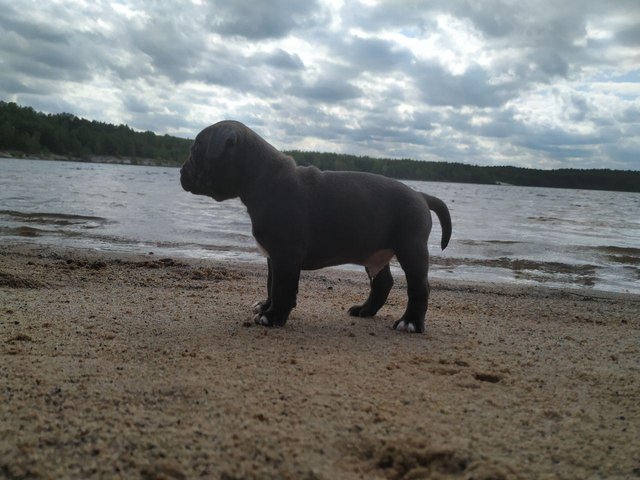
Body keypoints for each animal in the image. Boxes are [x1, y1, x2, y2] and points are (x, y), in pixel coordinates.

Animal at [178, 120, 452, 332]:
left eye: (196, 150)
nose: (181, 171)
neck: (262, 178)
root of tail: (421, 195)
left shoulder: (285, 255)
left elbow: (282, 286)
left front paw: (273, 317)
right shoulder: (273, 257)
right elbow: (271, 283)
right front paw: (266, 306)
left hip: (411, 249)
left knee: (419, 287)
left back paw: (410, 323)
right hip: (375, 251)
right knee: (383, 283)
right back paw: (365, 310)